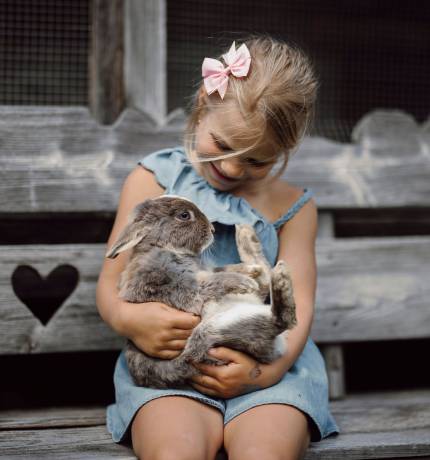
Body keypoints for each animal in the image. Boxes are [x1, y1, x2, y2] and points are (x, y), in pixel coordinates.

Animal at [106, 194, 298, 388]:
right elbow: (213, 282)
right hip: (214, 332)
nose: (213, 229)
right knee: (282, 320)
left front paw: (249, 271)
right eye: (184, 215)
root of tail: (273, 350)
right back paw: (280, 278)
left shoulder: (206, 270)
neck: (163, 247)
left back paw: (246, 236)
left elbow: (220, 270)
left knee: (266, 277)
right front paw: (245, 282)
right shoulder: (177, 288)